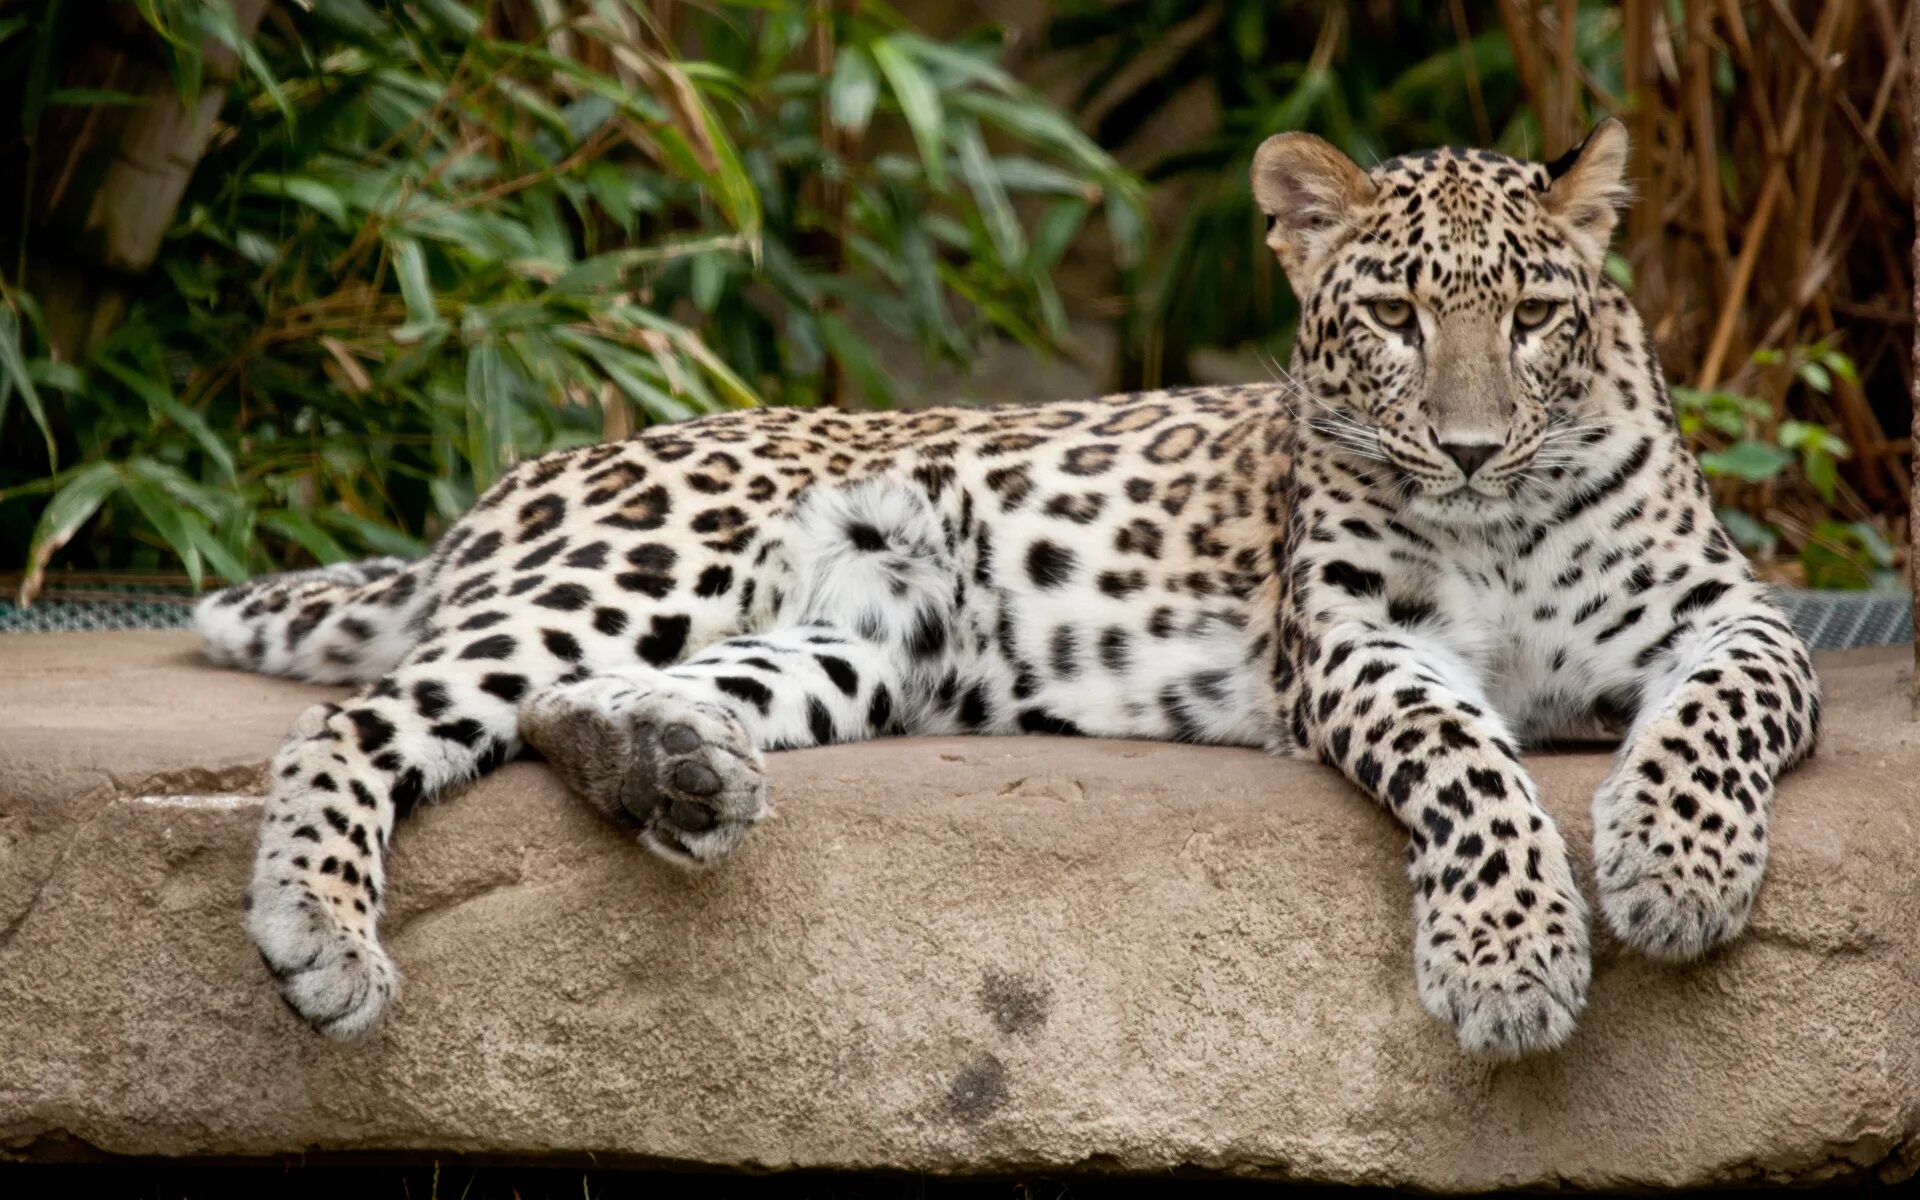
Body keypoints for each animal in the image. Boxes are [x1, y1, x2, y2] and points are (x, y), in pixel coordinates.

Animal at [202, 119, 1820, 1059]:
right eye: (1394, 317)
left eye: (1537, 315)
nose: (1476, 447)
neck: (1500, 526)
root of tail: (505, 486)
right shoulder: (1363, 647)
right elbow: (1472, 768)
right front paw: (1509, 960)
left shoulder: (1734, 613)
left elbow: (1718, 711)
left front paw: (1675, 869)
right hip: (657, 555)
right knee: (358, 720)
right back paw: (322, 935)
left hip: (871, 645)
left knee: (563, 706)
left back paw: (677, 774)